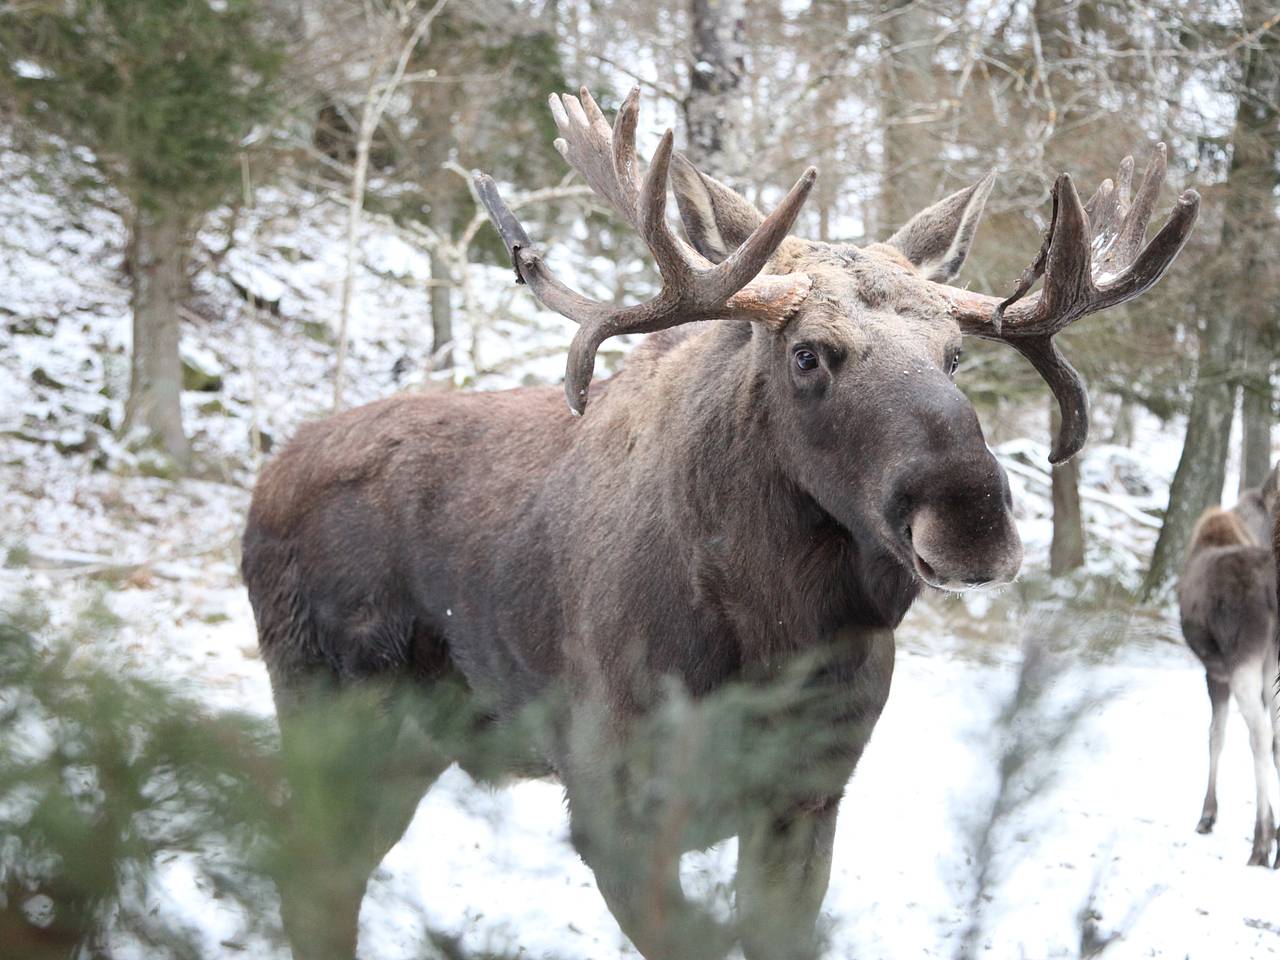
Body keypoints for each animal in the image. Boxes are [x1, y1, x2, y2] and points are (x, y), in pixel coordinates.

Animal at [241, 86, 1198, 957]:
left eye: (955, 355)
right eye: (808, 353)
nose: (970, 519)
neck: (781, 635)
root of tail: (265, 484)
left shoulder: (807, 798)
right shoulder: (615, 808)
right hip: (329, 706)